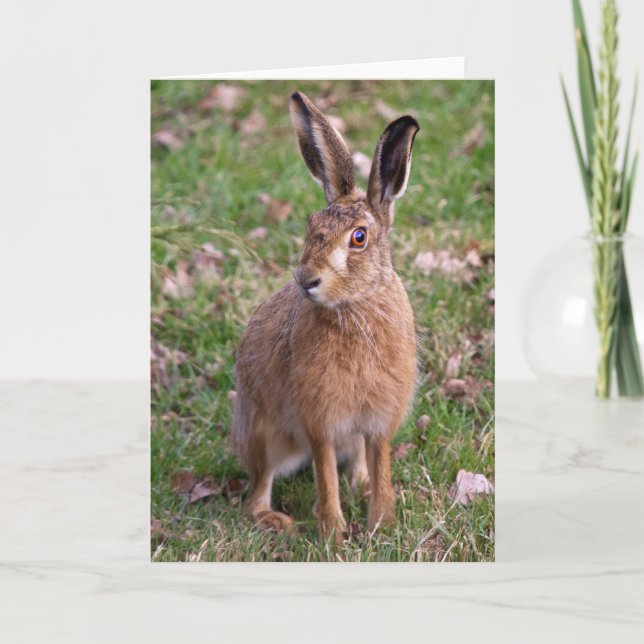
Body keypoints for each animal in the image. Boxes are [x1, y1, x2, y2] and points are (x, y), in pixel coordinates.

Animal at [231, 91, 419, 544]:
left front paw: (380, 524)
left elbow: (380, 464)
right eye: (310, 224)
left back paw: (361, 484)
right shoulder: (320, 422)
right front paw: (334, 534)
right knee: (257, 492)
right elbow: (324, 474)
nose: (306, 280)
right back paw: (276, 521)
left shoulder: (379, 422)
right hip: (267, 437)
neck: (355, 305)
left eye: (359, 238)